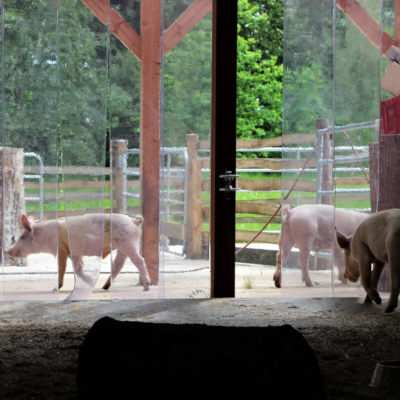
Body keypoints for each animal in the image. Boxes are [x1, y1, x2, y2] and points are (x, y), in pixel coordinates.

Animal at [7, 214, 151, 292]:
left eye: (22, 237)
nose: (7, 250)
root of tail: (134, 221)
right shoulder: (73, 252)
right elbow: (78, 268)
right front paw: (88, 282)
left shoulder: (62, 249)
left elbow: (62, 268)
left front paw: (54, 289)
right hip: (123, 247)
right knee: (118, 264)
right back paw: (104, 287)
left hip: (129, 244)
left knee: (140, 260)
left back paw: (146, 287)